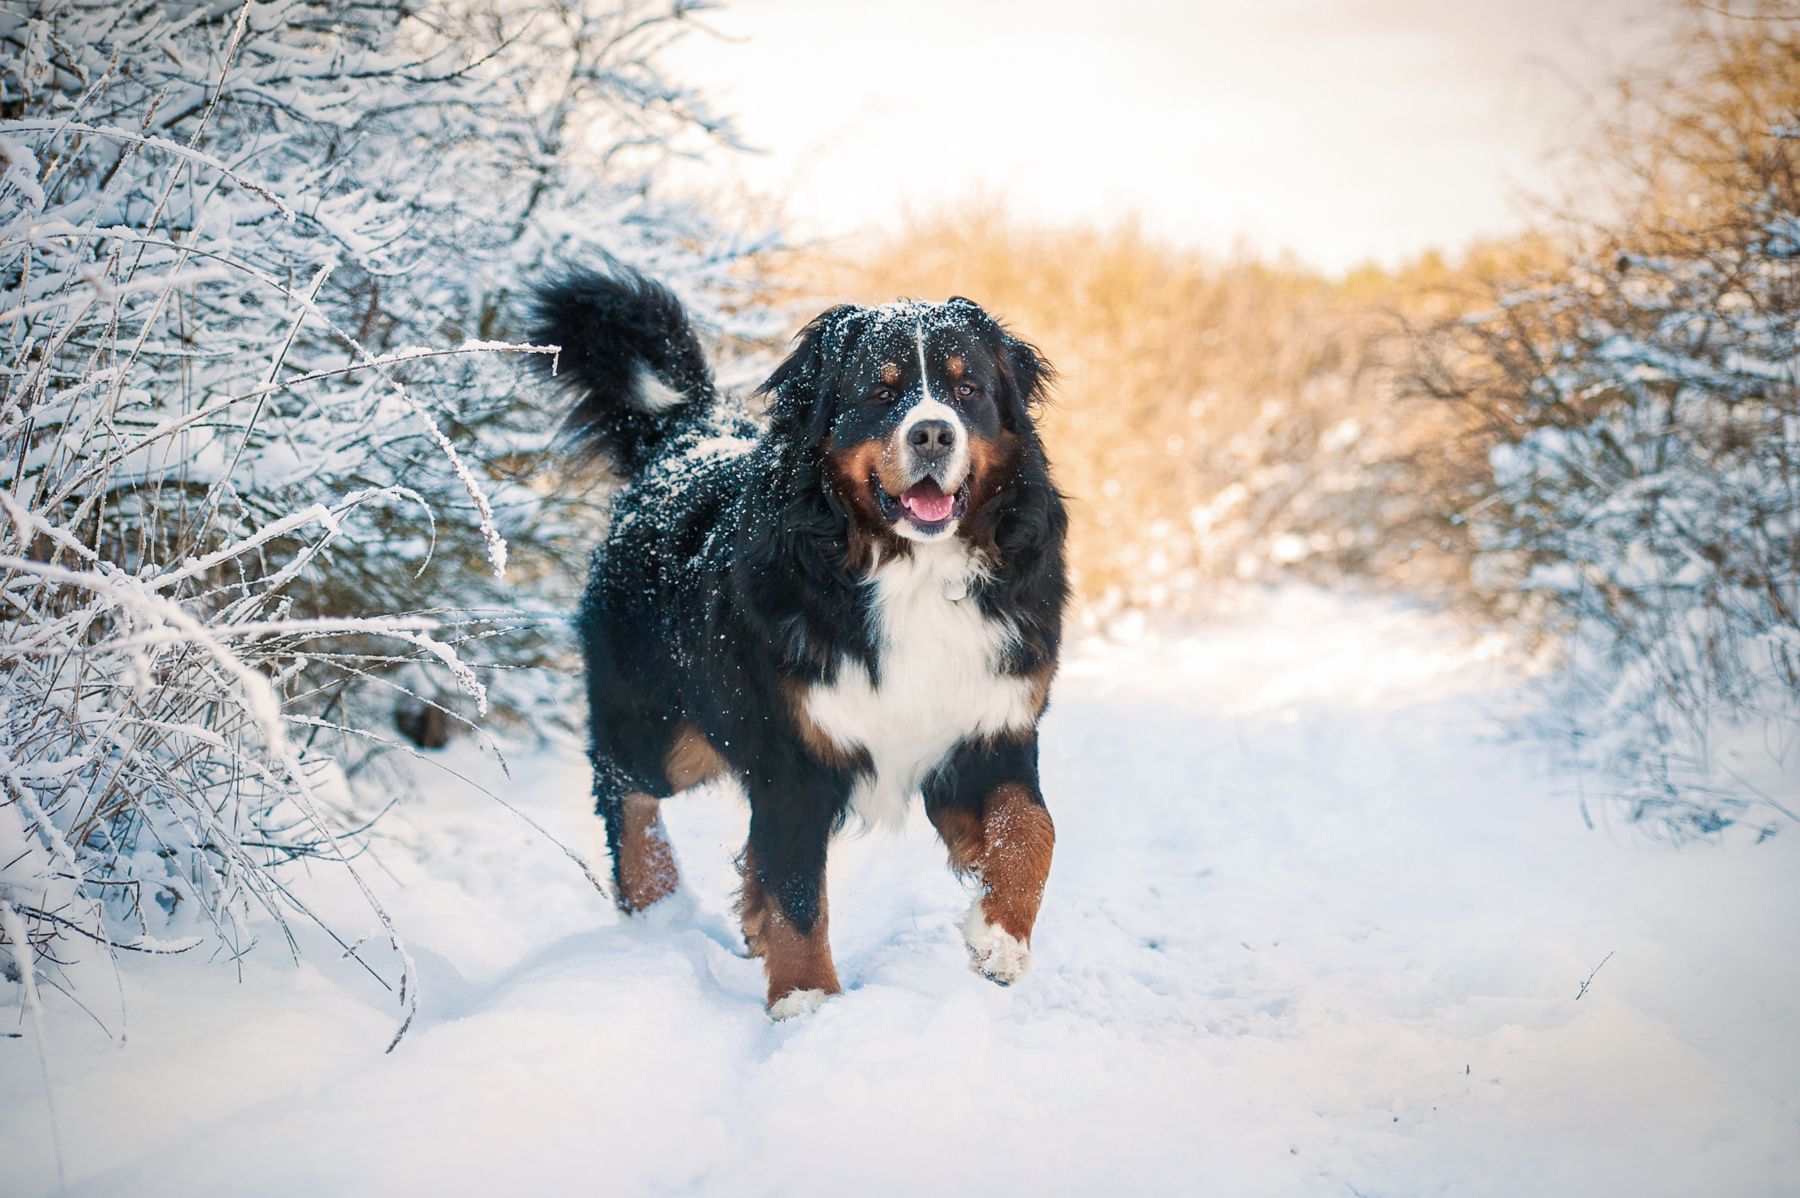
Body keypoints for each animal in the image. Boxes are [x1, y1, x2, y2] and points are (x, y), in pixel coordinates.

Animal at [532, 266, 1065, 1014]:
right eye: (880, 391)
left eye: (969, 390)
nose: (933, 433)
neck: (911, 572)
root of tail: (687, 438)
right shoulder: (793, 754)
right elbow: (798, 893)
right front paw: (806, 1000)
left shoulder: (991, 726)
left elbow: (1031, 831)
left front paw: (999, 939)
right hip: (667, 732)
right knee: (622, 785)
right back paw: (656, 902)